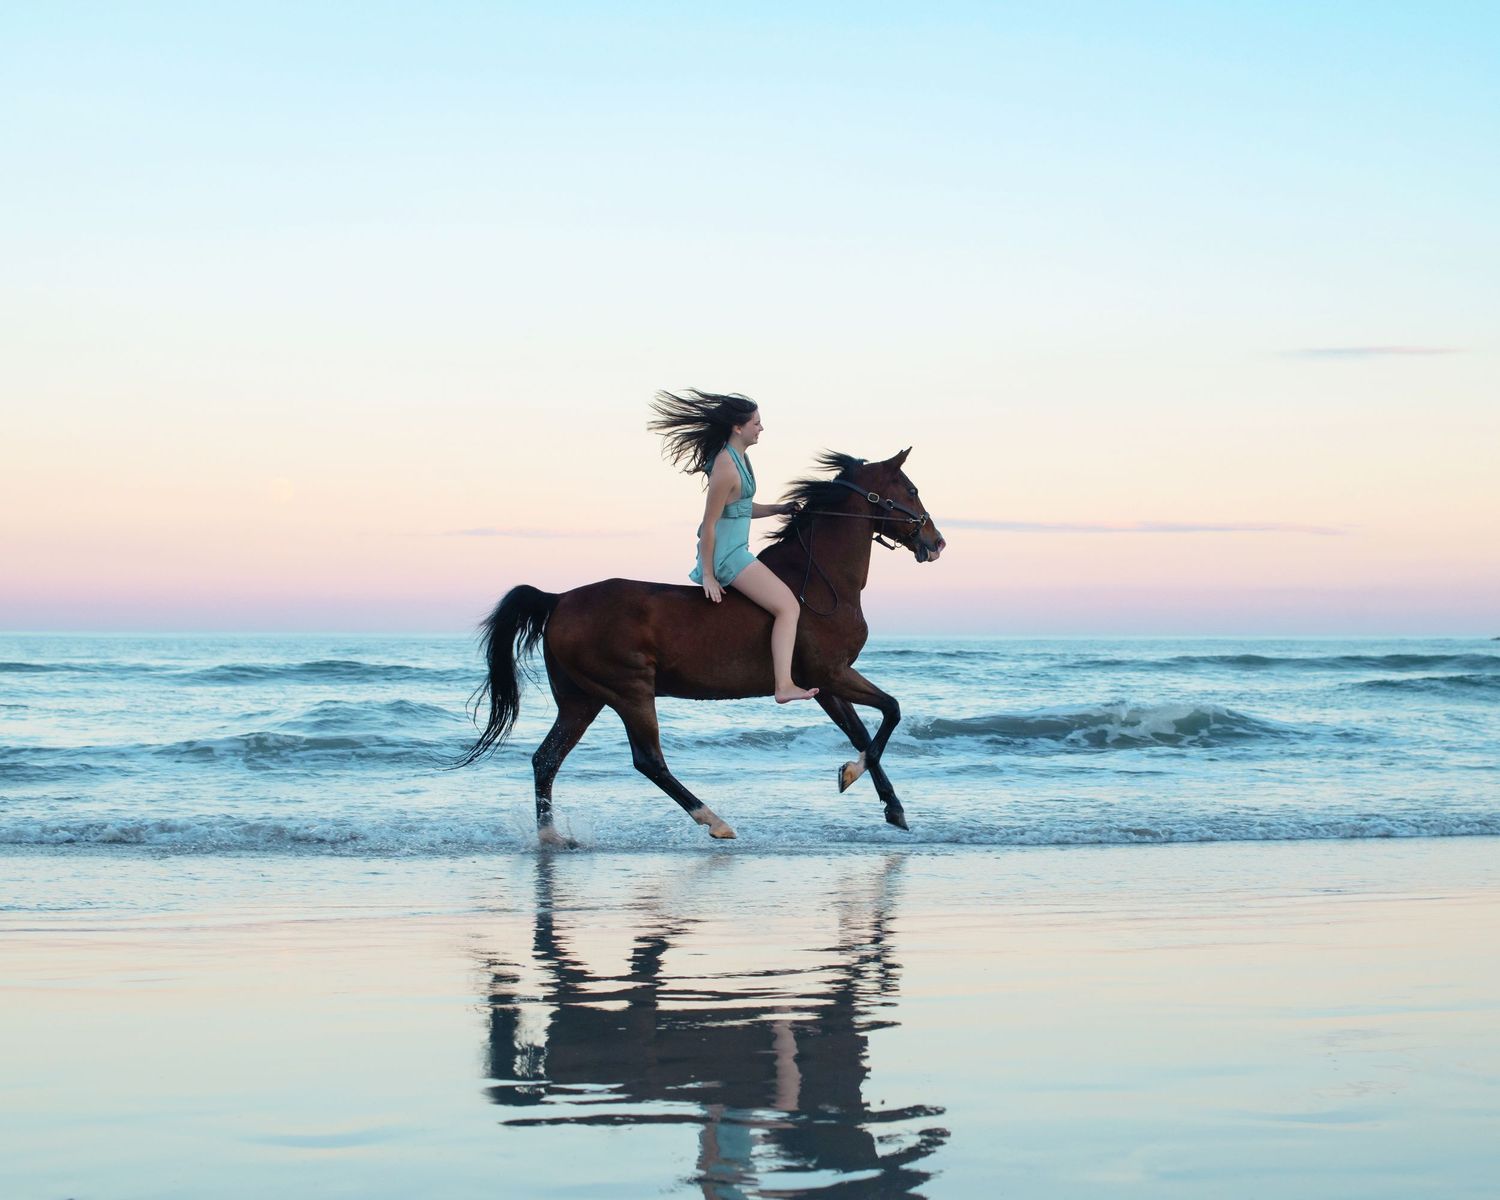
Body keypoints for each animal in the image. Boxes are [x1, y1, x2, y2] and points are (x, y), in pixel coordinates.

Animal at [456, 447, 946, 843]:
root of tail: (557, 600)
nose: (936, 541)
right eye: (911, 489)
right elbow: (892, 711)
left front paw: (889, 805)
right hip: (630, 691)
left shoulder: (825, 685)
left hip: (581, 700)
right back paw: (715, 820)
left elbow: (863, 731)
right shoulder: (832, 673)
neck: (821, 583)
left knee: (546, 759)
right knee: (648, 760)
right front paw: (855, 775)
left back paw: (551, 837)